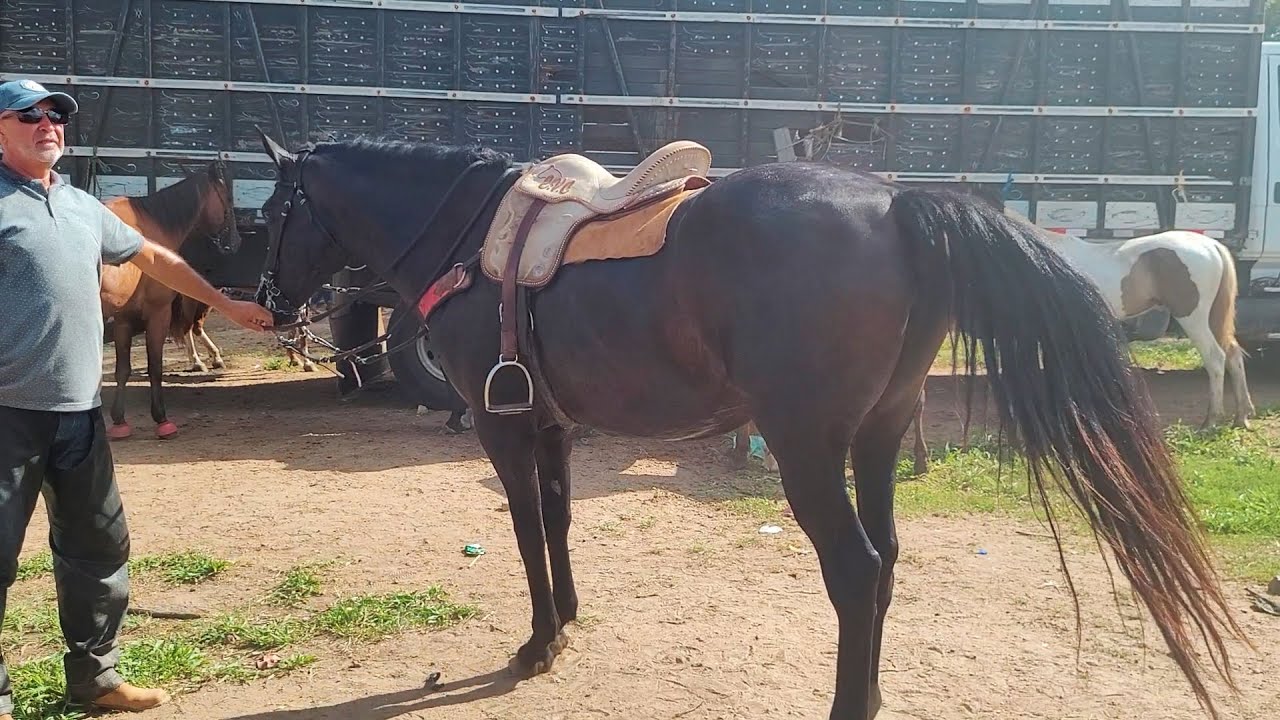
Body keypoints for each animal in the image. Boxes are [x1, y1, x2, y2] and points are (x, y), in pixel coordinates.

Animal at [100, 160, 240, 439]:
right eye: (228, 198)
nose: (237, 240)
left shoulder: (122, 319)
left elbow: (123, 369)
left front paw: (119, 420)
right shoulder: (158, 314)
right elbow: (155, 366)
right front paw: (161, 418)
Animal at [250, 131, 1245, 720]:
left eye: (271, 209)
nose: (269, 304)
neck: (470, 240)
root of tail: (897, 205)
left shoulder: (505, 430)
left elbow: (528, 530)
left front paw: (537, 644)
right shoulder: (554, 426)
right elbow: (561, 523)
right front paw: (567, 619)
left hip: (807, 448)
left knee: (856, 571)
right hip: (880, 436)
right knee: (887, 563)